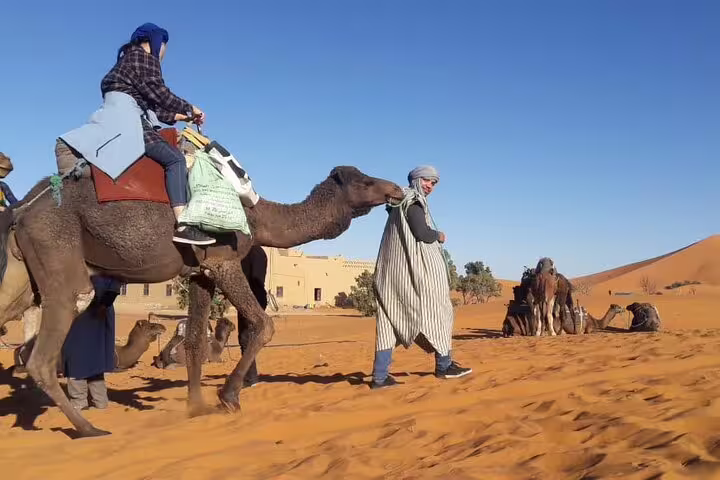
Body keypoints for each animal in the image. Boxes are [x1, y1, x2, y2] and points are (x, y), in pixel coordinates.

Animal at [0, 153, 402, 437]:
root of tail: (22, 210)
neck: (257, 216)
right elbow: (265, 326)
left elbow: (194, 339)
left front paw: (197, 407)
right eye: (366, 180)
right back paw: (88, 428)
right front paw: (227, 397)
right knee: (46, 348)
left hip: (22, 272)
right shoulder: (224, 260)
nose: (396, 190)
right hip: (57, 252)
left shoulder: (199, 273)